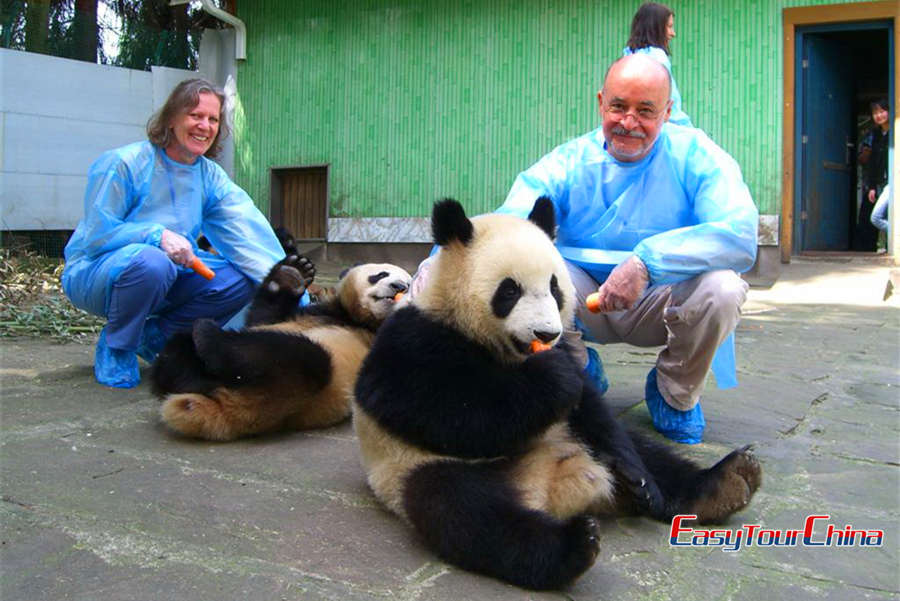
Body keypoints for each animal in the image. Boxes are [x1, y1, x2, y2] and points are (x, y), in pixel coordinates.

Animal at [352, 198, 760, 592]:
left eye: (554, 287)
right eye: (509, 290)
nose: (546, 333)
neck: (502, 349)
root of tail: (551, 489)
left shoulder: (566, 354)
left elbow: (592, 406)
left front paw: (638, 479)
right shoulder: (415, 341)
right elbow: (440, 409)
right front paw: (551, 381)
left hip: (578, 438)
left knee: (648, 452)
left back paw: (720, 482)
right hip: (418, 468)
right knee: (467, 512)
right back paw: (572, 548)